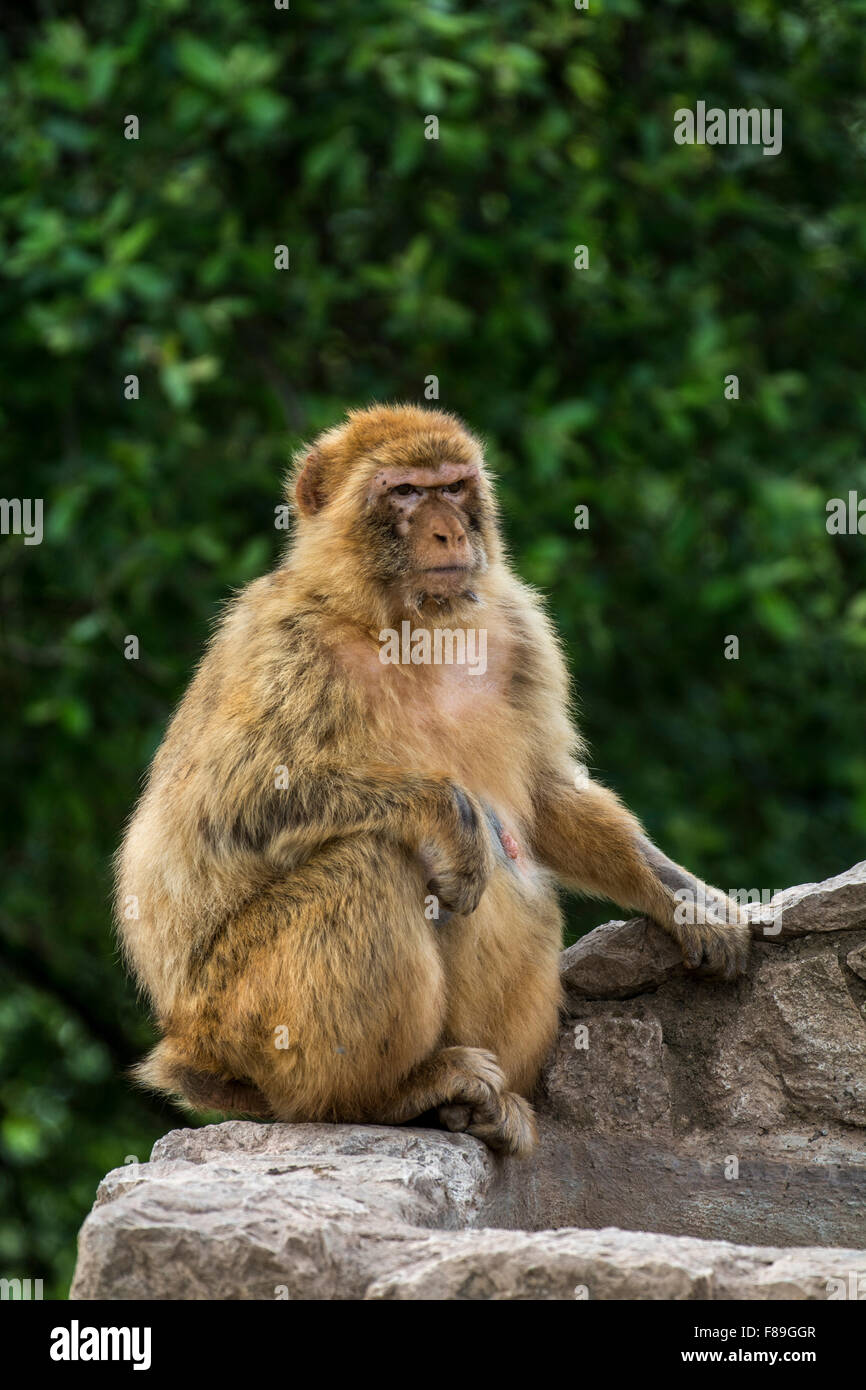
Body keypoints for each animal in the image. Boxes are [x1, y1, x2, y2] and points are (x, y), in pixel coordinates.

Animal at [118, 405, 756, 1162]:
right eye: (404, 492)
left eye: (452, 486)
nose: (448, 529)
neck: (408, 622)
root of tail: (193, 1047)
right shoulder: (284, 646)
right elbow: (228, 806)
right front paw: (445, 812)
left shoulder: (518, 628)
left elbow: (547, 796)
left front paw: (684, 898)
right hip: (239, 1020)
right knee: (367, 862)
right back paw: (385, 1095)